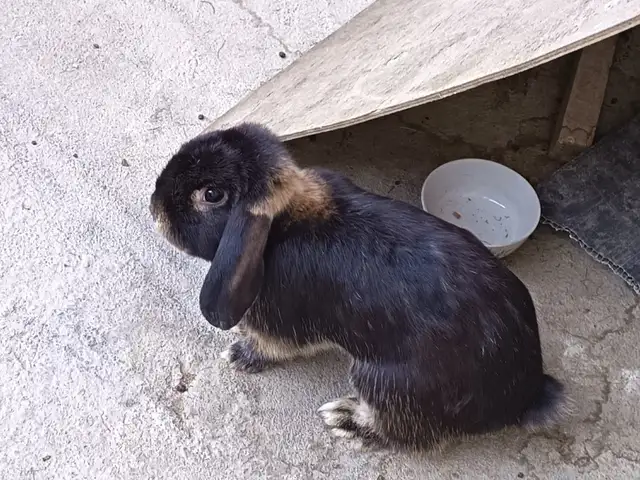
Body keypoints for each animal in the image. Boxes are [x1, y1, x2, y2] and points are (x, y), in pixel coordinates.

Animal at [149, 122, 569, 449]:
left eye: (211, 195)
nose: (154, 208)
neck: (284, 225)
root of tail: (524, 397)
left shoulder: (282, 322)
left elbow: (274, 346)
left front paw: (240, 354)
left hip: (385, 382)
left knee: (407, 435)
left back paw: (346, 420)